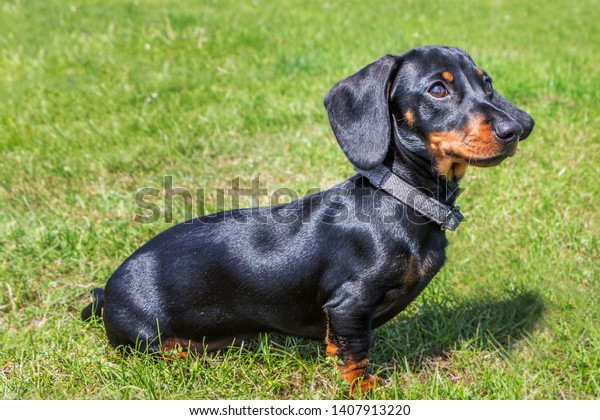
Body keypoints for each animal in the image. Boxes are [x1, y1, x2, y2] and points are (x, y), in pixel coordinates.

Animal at [81, 46, 536, 394]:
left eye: (487, 84)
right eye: (438, 89)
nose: (515, 129)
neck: (400, 197)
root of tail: (105, 292)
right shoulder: (350, 302)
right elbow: (356, 352)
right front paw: (363, 389)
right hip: (148, 336)